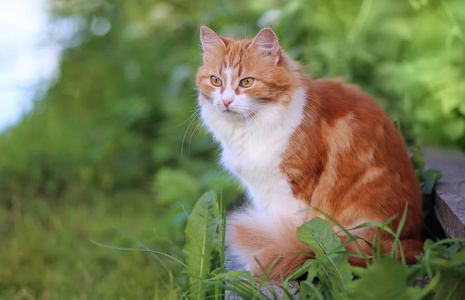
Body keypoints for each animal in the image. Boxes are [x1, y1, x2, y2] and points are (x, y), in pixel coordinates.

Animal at [194, 25, 422, 278]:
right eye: (216, 81)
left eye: (246, 82)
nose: (225, 101)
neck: (250, 130)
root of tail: (411, 239)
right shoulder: (261, 190)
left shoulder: (294, 188)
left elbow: (292, 232)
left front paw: (269, 258)